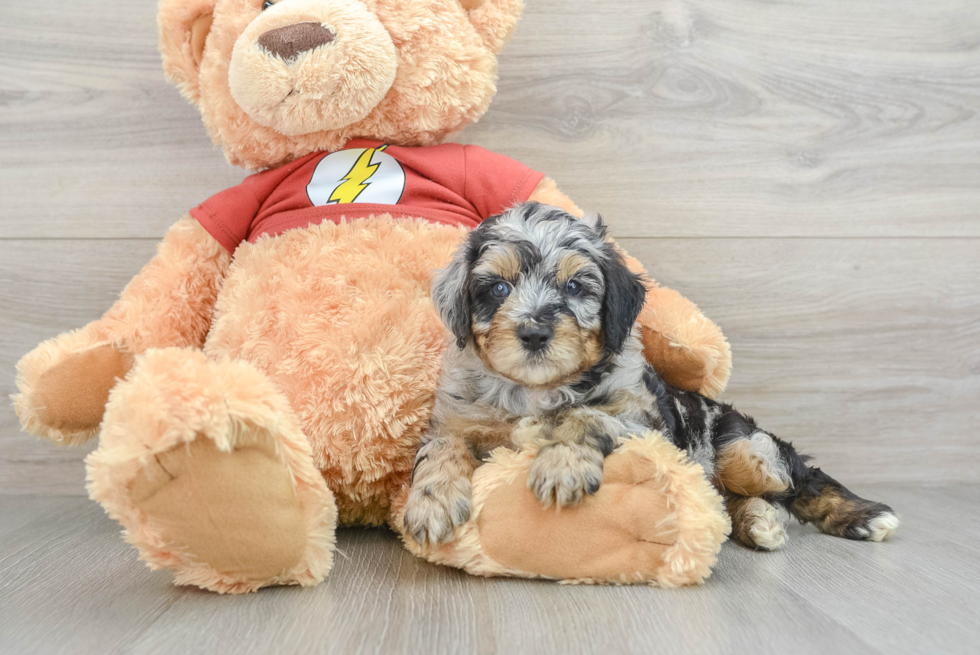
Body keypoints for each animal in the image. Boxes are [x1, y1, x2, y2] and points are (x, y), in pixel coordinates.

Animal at [402, 202, 900, 552]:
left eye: (575, 287)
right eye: (498, 288)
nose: (534, 332)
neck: (535, 390)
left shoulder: (642, 421)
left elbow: (584, 416)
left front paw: (562, 465)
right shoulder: (454, 422)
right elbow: (441, 449)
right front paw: (432, 502)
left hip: (749, 450)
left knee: (803, 479)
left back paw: (861, 516)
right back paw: (760, 522)